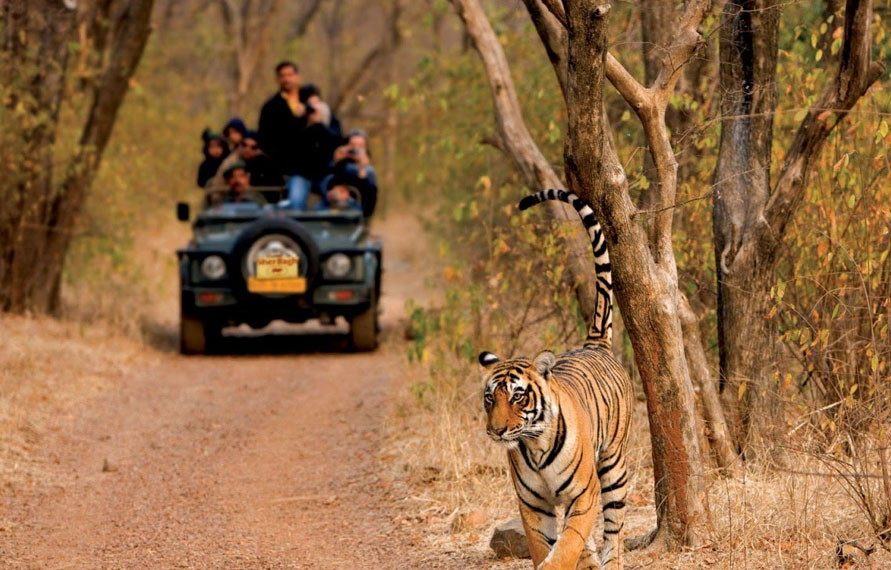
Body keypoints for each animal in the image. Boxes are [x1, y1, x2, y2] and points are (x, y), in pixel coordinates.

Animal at [480, 189, 636, 564]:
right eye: (490, 398)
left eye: (517, 396)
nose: (496, 431)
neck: (536, 447)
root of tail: (594, 345)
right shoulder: (533, 506)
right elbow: (544, 547)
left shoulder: (585, 495)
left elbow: (568, 544)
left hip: (613, 466)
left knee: (614, 528)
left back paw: (611, 560)